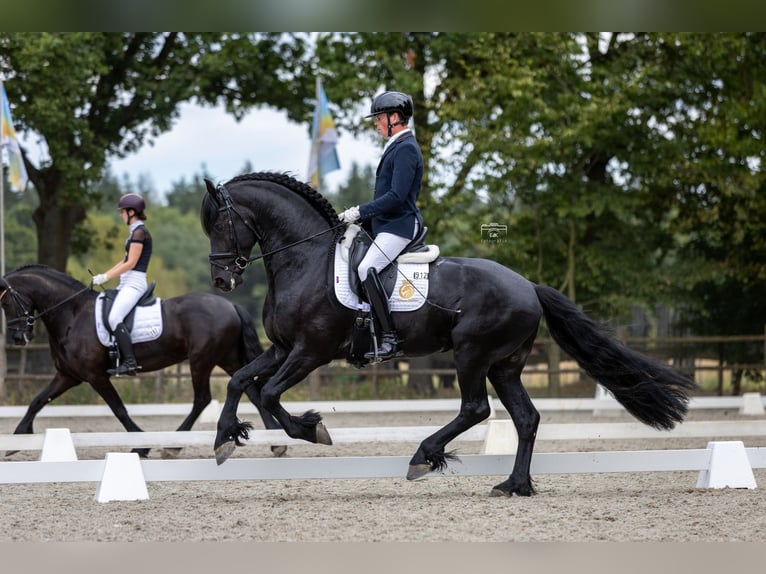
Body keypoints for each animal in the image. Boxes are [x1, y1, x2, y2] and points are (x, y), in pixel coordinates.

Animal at [0, 264, 285, 458]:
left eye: (5, 303)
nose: (17, 338)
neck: (72, 314)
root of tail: (230, 305)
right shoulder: (68, 375)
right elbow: (37, 401)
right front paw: (17, 439)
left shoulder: (95, 375)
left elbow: (119, 409)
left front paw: (141, 445)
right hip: (227, 357)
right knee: (251, 390)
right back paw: (275, 441)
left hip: (202, 360)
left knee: (203, 399)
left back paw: (172, 445)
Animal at [200, 171, 697, 497]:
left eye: (221, 223)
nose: (222, 281)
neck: (306, 259)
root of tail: (528, 285)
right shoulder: (282, 348)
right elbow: (239, 380)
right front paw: (225, 438)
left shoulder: (311, 351)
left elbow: (269, 394)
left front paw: (310, 429)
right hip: (504, 365)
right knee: (526, 418)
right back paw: (513, 485)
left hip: (471, 354)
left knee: (476, 408)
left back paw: (425, 456)